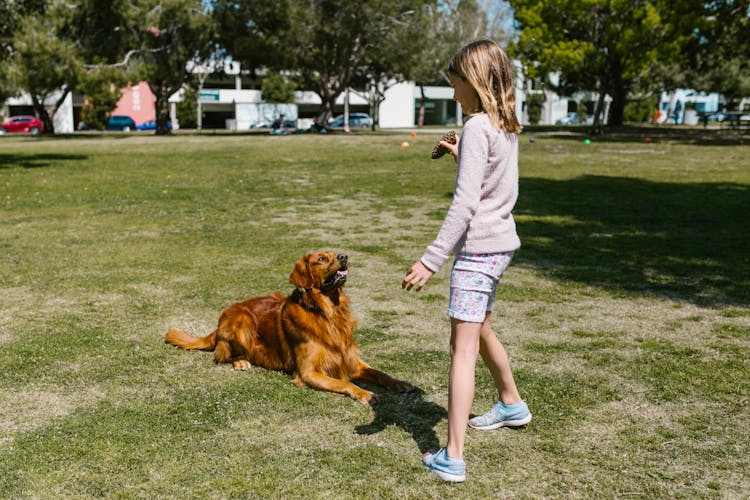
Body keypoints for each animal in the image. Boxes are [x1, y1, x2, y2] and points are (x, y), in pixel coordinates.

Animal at [164, 252, 414, 404]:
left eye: (335, 254)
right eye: (321, 258)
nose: (344, 256)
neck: (327, 313)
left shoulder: (349, 358)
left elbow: (379, 373)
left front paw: (400, 383)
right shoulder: (308, 372)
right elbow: (343, 382)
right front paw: (364, 393)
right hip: (241, 320)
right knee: (222, 354)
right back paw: (241, 361)